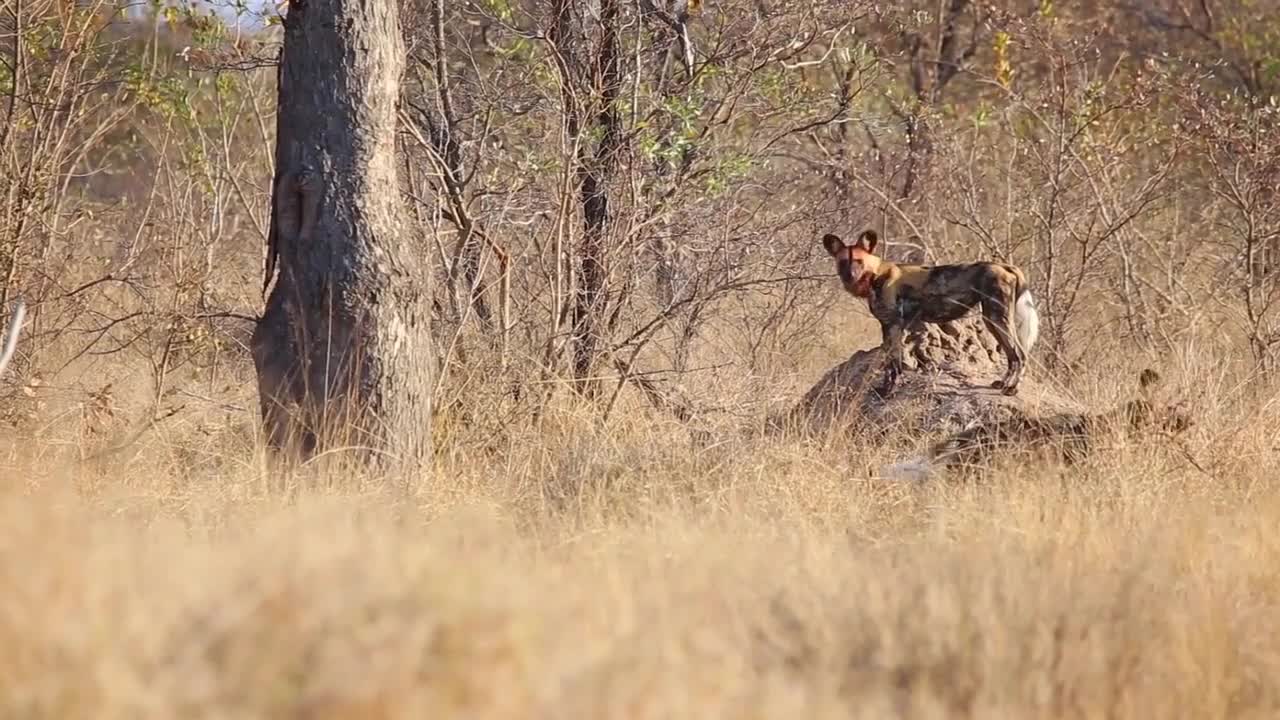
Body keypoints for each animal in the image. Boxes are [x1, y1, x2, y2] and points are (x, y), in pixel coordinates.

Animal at [819, 229, 1039, 394]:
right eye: (843, 262)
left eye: (858, 262)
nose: (849, 276)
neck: (875, 275)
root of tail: (1006, 266)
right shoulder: (891, 327)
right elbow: (891, 364)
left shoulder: (893, 326)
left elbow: (894, 365)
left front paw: (888, 391)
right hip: (992, 321)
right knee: (1012, 356)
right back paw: (1003, 384)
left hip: (997, 318)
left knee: (1021, 355)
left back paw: (1012, 389)